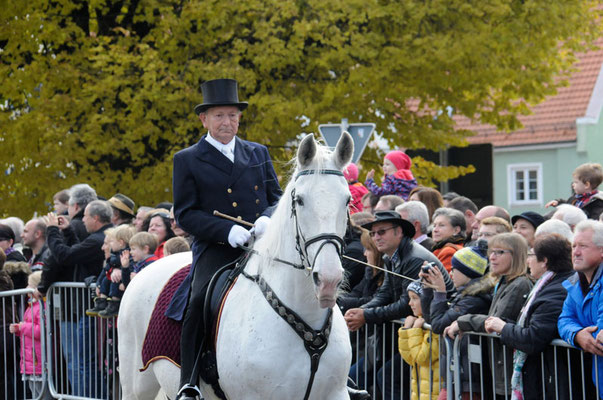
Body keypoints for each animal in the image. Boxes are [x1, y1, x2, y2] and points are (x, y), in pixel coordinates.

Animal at [118, 133, 354, 398]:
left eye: (347, 200)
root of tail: (145, 269)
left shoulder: (335, 393)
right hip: (137, 386)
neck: (307, 321)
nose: (328, 280)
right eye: (300, 200)